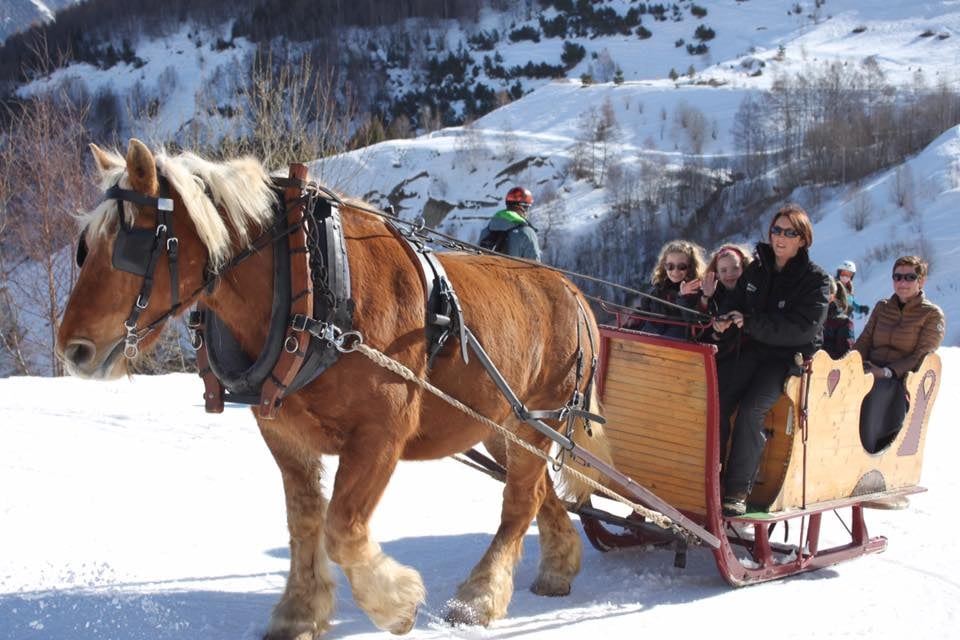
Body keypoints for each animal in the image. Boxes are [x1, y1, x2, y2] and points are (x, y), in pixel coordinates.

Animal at [57, 139, 612, 638]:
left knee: (518, 500)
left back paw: (478, 599)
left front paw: (397, 606)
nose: (72, 349)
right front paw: (299, 613)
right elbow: (305, 523)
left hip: (538, 418)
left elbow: (342, 529)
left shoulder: (380, 435)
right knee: (536, 490)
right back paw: (557, 567)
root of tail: (574, 292)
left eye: (131, 244)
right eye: (84, 247)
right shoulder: (284, 433)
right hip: (501, 427)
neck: (311, 285)